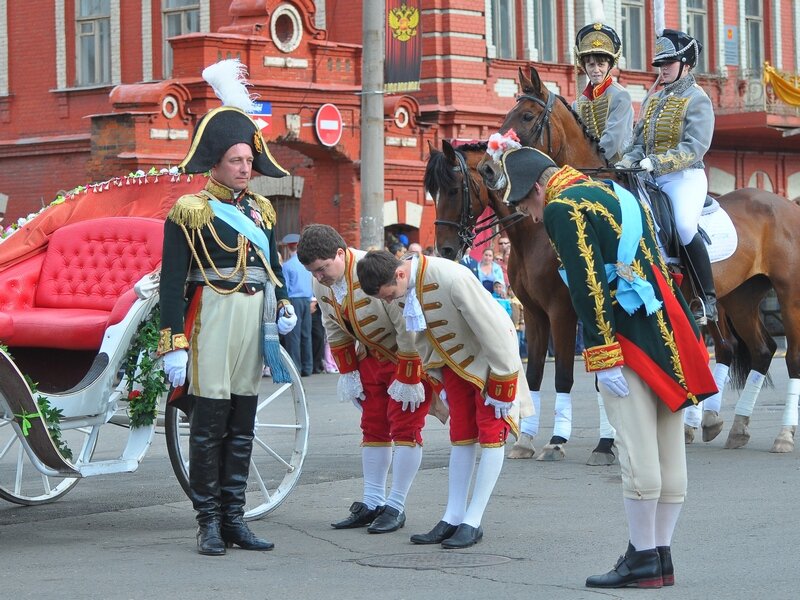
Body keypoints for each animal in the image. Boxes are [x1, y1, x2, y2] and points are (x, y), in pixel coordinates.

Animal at [424, 139, 620, 464]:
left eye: (452, 189)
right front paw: (525, 439)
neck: (534, 235)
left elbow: (566, 376)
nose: (446, 250)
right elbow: (534, 374)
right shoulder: (534, 313)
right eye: (431, 192)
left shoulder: (563, 312)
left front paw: (561, 442)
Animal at [478, 65, 796, 452]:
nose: (488, 169)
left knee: (787, 357)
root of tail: (785, 204)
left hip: (786, 296)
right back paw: (731, 427)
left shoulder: (566, 307)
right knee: (760, 350)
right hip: (741, 297)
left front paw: (601, 441)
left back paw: (780, 434)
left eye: (525, 116)